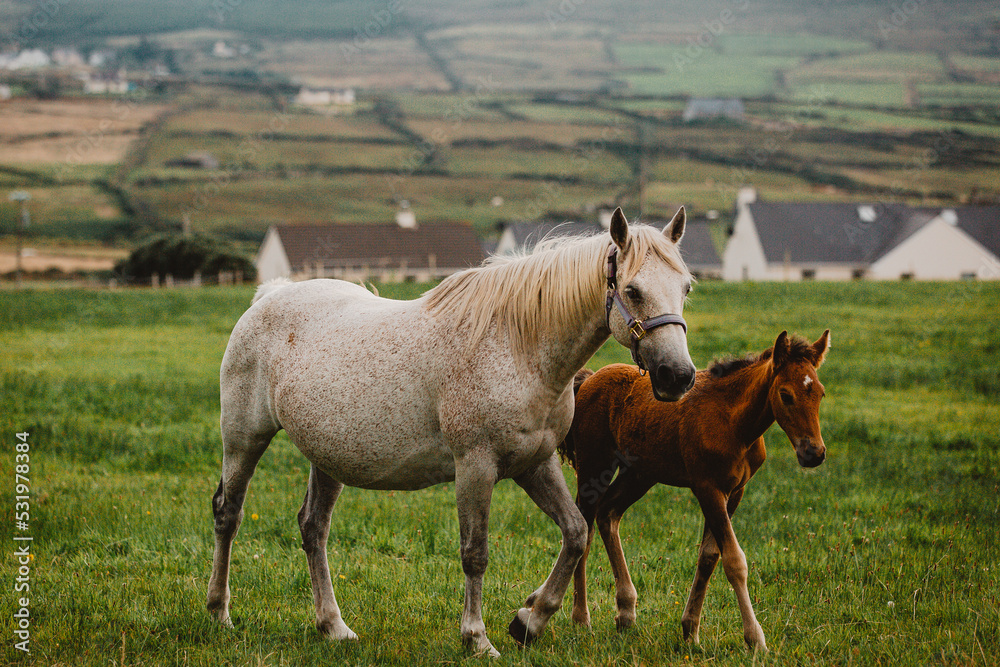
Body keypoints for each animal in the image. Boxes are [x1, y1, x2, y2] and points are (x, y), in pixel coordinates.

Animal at [206, 207, 698, 657]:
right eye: (632, 290)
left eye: (686, 287)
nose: (677, 376)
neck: (519, 347)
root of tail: (269, 295)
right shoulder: (475, 468)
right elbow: (475, 554)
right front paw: (477, 638)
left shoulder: (536, 464)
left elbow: (575, 533)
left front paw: (530, 620)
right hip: (243, 438)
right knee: (228, 514)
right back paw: (220, 614)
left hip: (327, 457)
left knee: (314, 529)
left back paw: (333, 626)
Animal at [558, 330, 830, 652]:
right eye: (786, 395)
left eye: (820, 393)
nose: (814, 453)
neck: (734, 422)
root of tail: (588, 380)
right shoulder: (707, 487)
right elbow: (734, 561)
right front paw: (755, 639)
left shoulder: (734, 491)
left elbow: (709, 556)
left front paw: (690, 630)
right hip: (594, 464)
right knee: (585, 527)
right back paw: (581, 618)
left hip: (639, 474)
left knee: (608, 514)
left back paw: (625, 612)